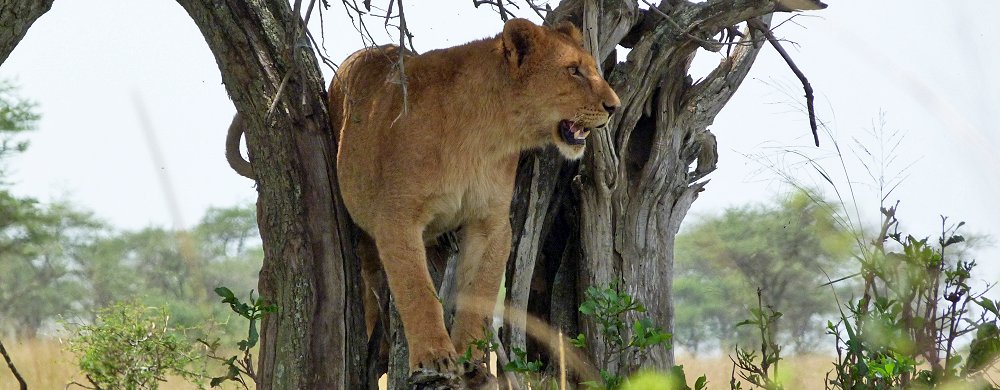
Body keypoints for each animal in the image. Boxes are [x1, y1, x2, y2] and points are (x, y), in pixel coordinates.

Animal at [229, 17, 616, 386]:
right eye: (573, 70)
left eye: (590, 68)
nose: (614, 106)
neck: (487, 135)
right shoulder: (396, 217)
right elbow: (417, 291)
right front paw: (434, 358)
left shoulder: (490, 222)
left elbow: (480, 293)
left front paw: (471, 359)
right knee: (372, 281)